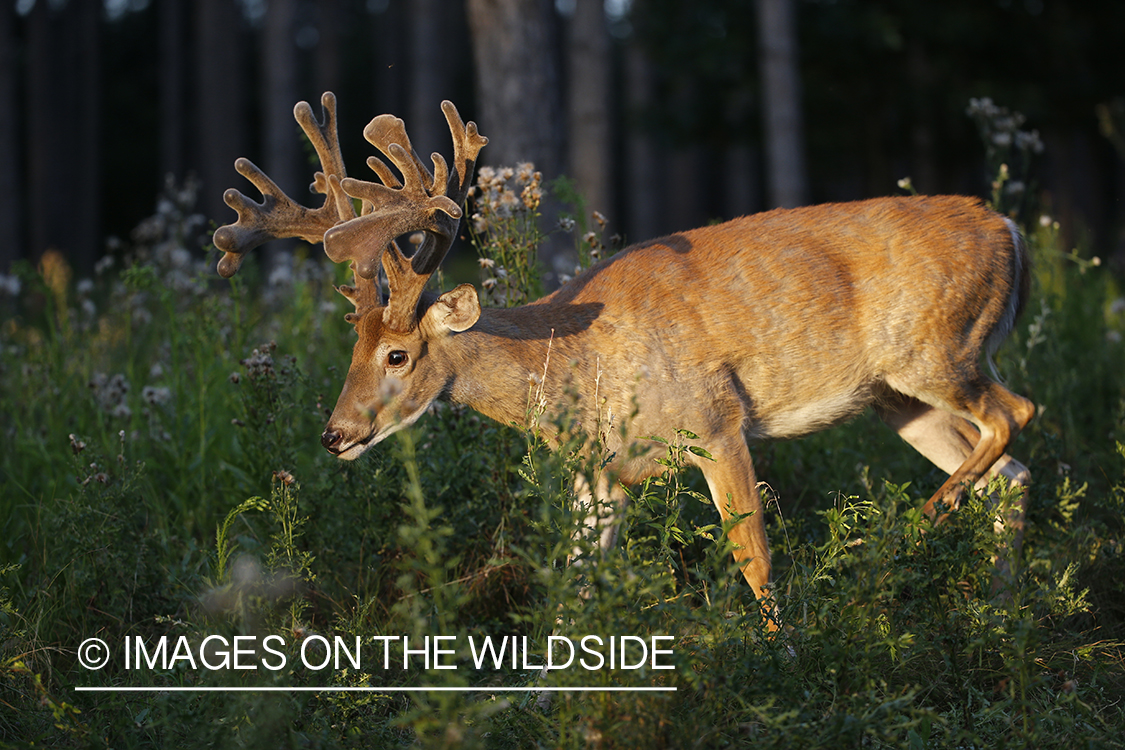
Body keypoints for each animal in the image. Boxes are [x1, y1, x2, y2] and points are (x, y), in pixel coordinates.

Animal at [214, 93, 1030, 629]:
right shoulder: (599, 473)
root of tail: (1012, 229)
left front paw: (783, 653)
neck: (577, 365)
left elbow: (753, 558)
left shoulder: (715, 421)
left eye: (397, 353)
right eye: (350, 346)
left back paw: (907, 529)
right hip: (900, 399)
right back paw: (1001, 608)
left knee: (1016, 413)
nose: (336, 434)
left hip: (936, 351)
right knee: (1011, 473)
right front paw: (549, 698)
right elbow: (574, 588)